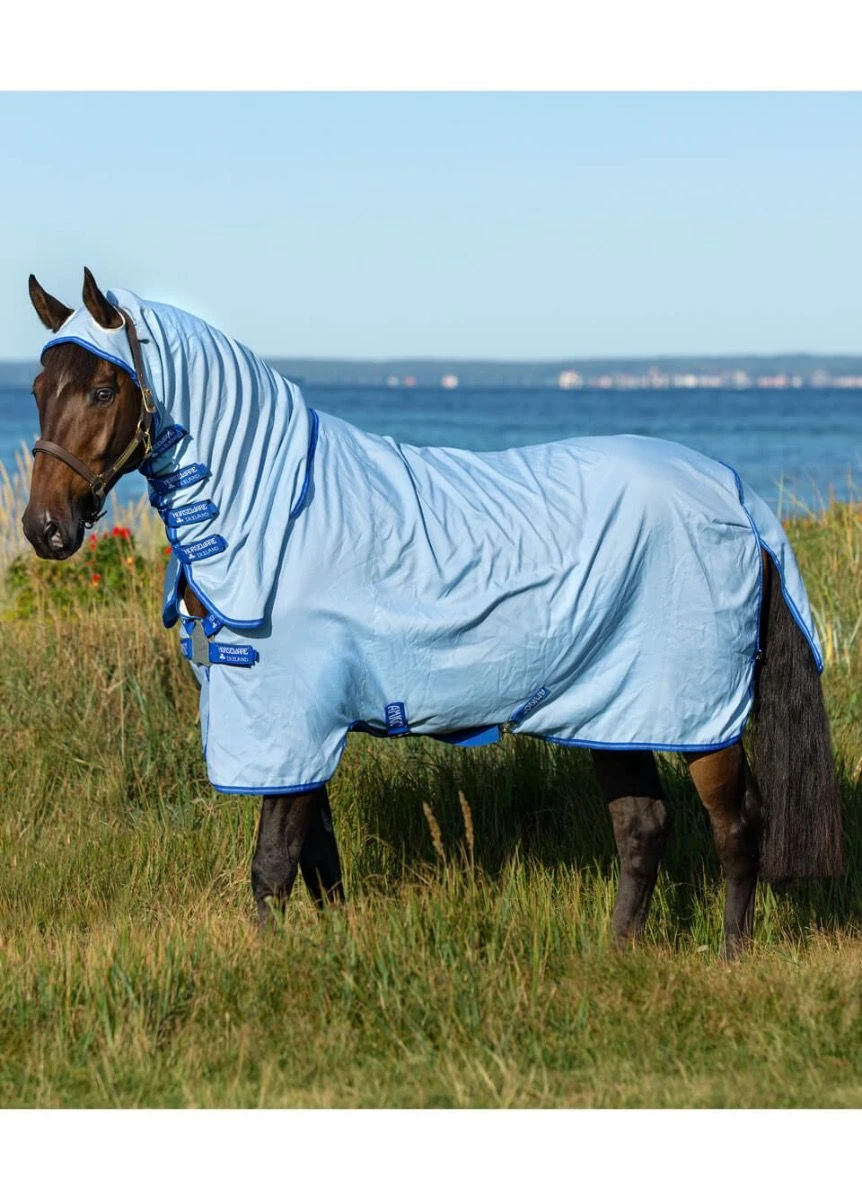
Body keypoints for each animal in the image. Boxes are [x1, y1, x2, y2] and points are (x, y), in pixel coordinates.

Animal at [23, 268, 845, 958]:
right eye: (35, 388)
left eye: (104, 391)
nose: (43, 528)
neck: (281, 521)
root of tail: (733, 493)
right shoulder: (303, 725)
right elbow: (319, 860)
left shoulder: (289, 717)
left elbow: (273, 864)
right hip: (616, 709)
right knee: (643, 827)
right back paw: (617, 954)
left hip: (695, 718)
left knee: (737, 828)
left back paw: (730, 956)